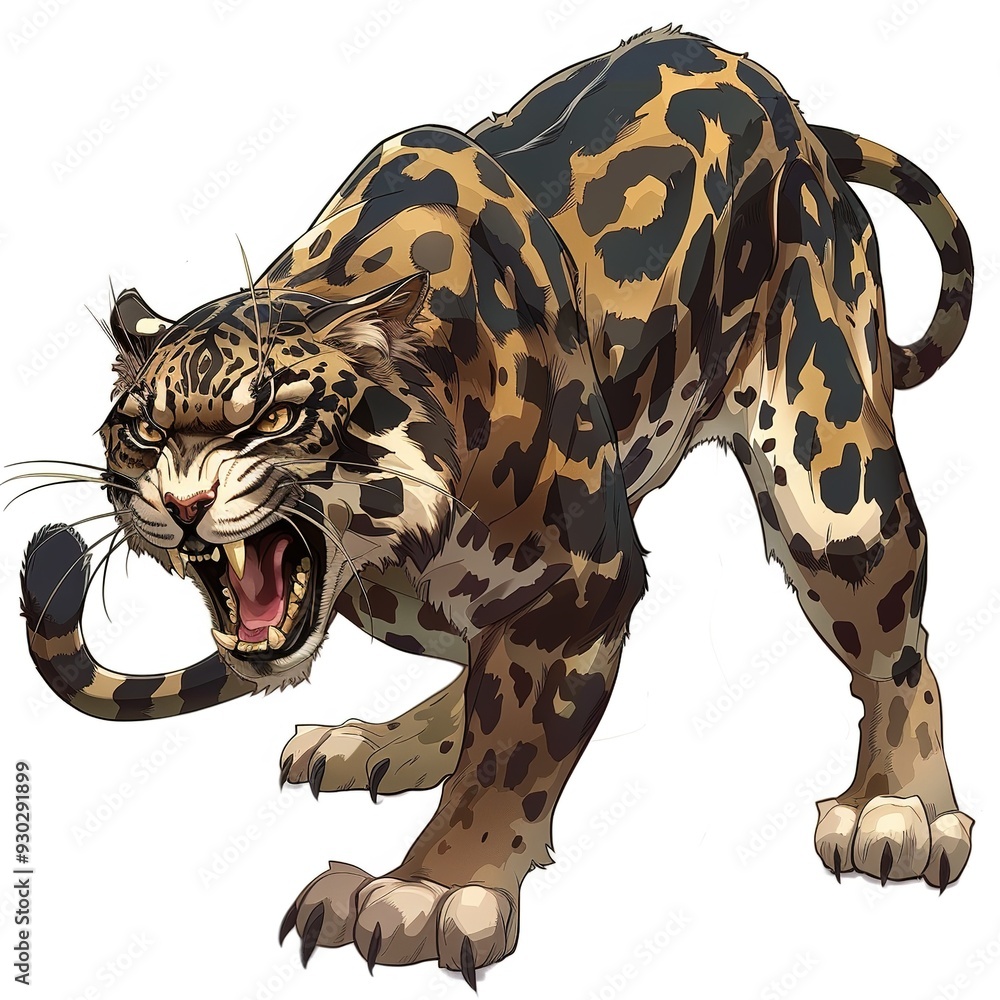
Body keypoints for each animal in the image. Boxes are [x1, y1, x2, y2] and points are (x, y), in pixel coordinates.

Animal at [18, 24, 975, 988]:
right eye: (142, 431)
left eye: (277, 415)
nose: (183, 502)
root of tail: (789, 109)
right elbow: (494, 713)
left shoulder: (578, 584)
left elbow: (510, 757)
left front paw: (433, 892)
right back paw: (384, 741)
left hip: (833, 496)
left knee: (899, 652)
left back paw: (899, 809)